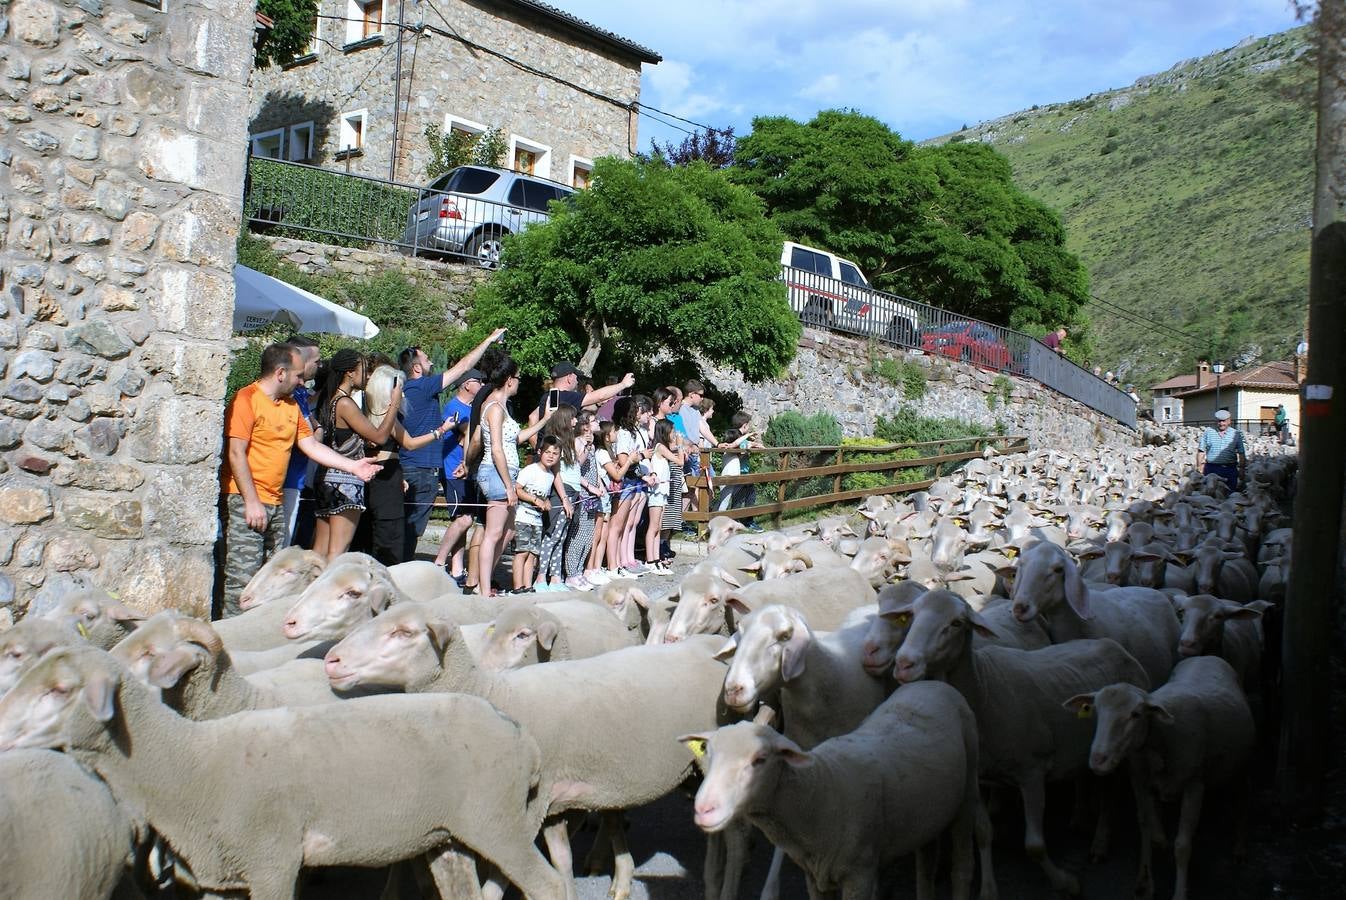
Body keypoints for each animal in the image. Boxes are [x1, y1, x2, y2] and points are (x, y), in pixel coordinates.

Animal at [0, 643, 568, 898]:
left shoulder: (272, 861)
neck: (188, 762)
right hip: (445, 834)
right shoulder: (219, 875)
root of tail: (519, 733)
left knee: (547, 885)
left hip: (496, 823)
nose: (1, 726)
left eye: (59, 690)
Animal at [683, 678, 979, 898]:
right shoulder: (814, 876)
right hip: (927, 816)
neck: (820, 791)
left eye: (760, 760)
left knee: (963, 868)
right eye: (708, 752)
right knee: (926, 866)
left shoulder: (860, 875)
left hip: (967, 797)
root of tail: (932, 683)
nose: (703, 809)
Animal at [888, 586, 1152, 893]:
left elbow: (1034, 845)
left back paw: (1100, 843)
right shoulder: (978, 778)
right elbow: (983, 833)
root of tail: (1112, 646)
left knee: (1112, 793)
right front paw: (988, 890)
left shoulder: (1032, 772)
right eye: (912, 615)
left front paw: (1065, 882)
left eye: (956, 623)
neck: (983, 691)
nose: (904, 664)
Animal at [1066, 653, 1254, 898]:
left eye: (1136, 714)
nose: (1098, 760)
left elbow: (1182, 845)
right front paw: (1145, 882)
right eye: (1095, 710)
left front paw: (1180, 892)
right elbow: (1146, 828)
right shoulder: (1140, 780)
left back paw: (1240, 848)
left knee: (1243, 800)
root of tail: (1207, 656)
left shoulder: (1195, 785)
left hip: (1243, 763)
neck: (1160, 740)